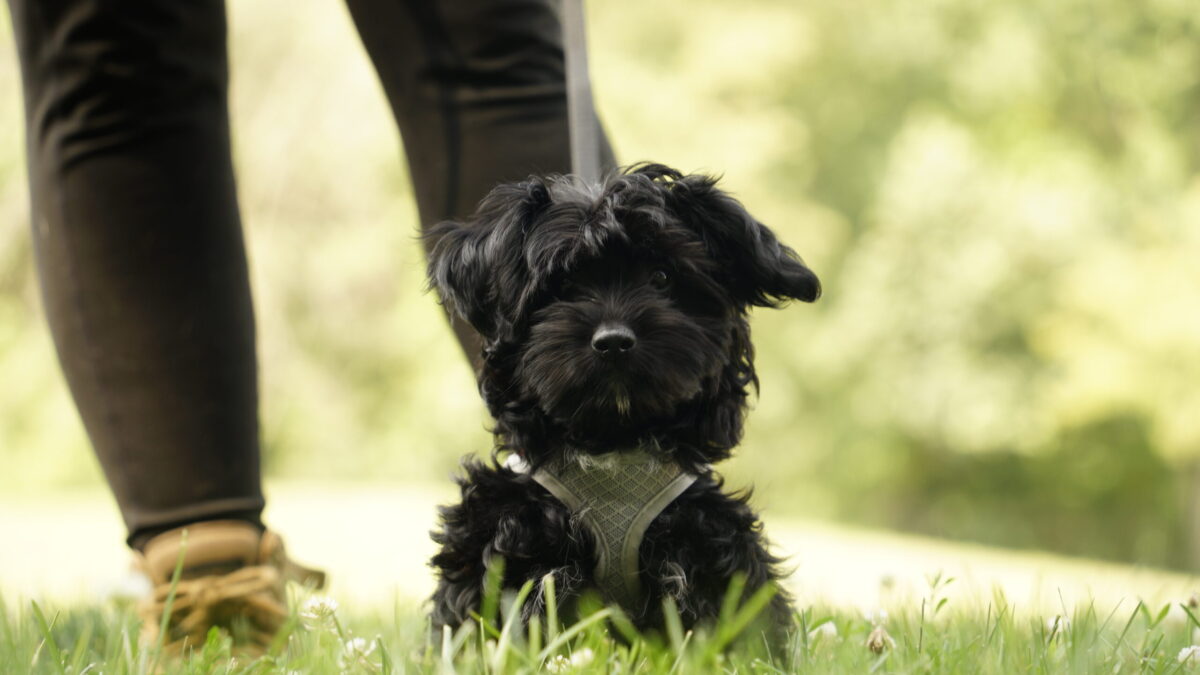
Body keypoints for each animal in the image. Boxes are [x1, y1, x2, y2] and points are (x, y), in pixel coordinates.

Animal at [427, 162, 820, 629]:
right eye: (563, 284)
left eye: (662, 277)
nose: (613, 341)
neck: (613, 437)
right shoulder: (505, 532)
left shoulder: (712, 543)